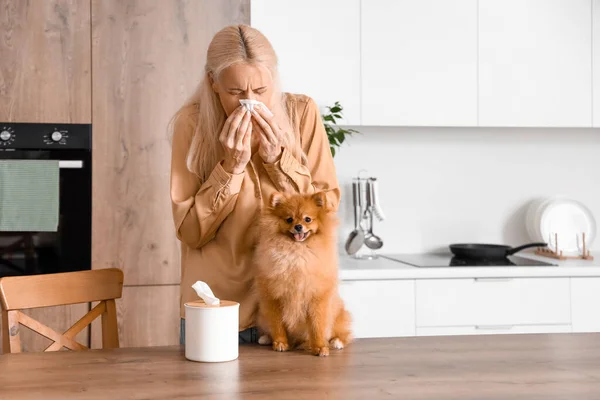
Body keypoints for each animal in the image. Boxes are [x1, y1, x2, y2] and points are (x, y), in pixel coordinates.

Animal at [253, 191, 352, 356]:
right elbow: (277, 324)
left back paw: (336, 342)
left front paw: (320, 347)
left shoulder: (317, 297)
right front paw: (280, 343)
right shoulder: (274, 298)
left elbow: (317, 325)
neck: (297, 252)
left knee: (342, 332)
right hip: (262, 315)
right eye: (289, 219)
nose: (298, 226)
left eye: (307, 219)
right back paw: (266, 338)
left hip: (338, 314)